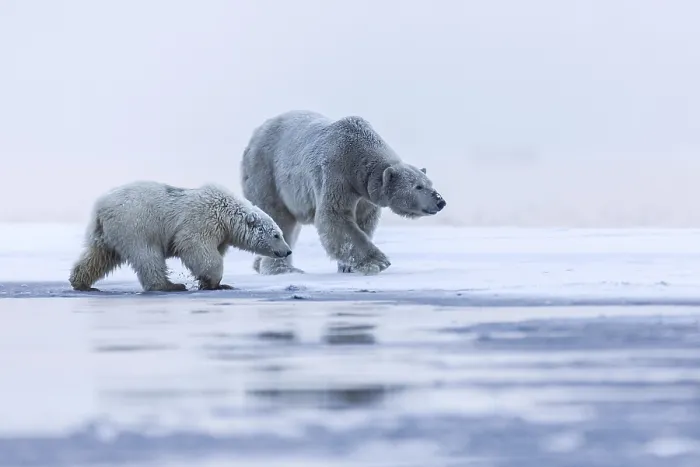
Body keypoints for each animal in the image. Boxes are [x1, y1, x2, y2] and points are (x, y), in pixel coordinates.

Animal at [68, 181, 292, 292]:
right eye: (276, 235)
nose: (288, 251)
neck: (225, 212)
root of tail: (101, 208)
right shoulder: (202, 221)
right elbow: (196, 248)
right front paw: (215, 282)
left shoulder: (221, 234)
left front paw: (211, 283)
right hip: (135, 225)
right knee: (147, 255)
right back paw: (170, 285)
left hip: (106, 234)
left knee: (98, 256)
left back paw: (81, 282)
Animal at [240, 110, 447, 276]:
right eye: (418, 186)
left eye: (430, 183)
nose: (440, 201)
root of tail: (255, 134)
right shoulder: (336, 172)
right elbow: (334, 216)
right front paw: (378, 262)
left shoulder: (364, 194)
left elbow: (364, 221)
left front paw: (348, 267)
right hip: (266, 173)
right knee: (277, 217)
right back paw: (283, 269)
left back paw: (259, 265)